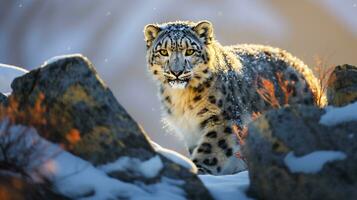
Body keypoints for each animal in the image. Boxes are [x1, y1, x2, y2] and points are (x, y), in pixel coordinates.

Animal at [143, 19, 326, 174]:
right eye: (163, 51)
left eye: (190, 51)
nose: (176, 72)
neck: (182, 98)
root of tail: (303, 67)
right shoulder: (190, 129)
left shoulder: (223, 118)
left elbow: (211, 148)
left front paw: (199, 169)